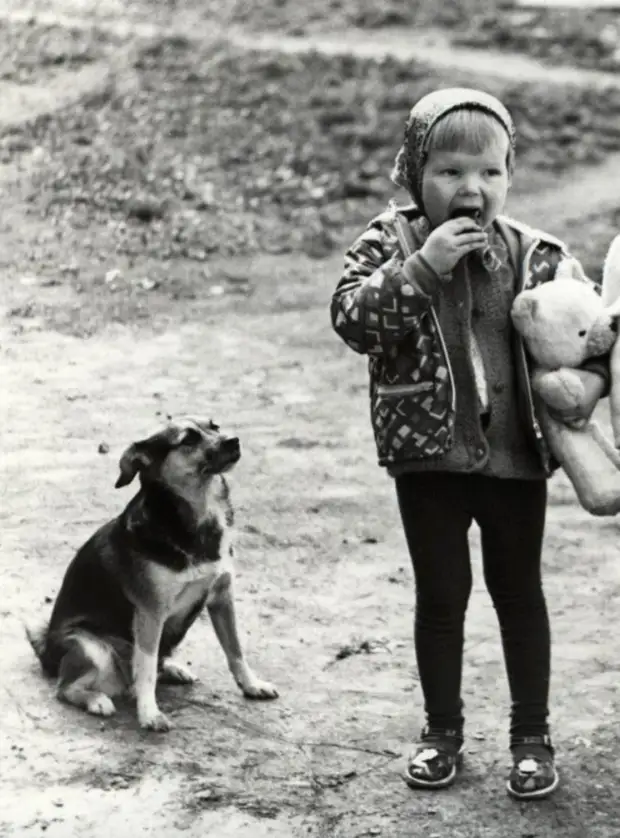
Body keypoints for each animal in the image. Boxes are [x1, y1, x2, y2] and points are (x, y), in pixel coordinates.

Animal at [26, 416, 278, 732]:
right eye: (188, 439)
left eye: (215, 426)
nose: (234, 440)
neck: (198, 515)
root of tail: (45, 650)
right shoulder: (150, 612)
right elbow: (144, 668)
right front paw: (149, 713)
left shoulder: (222, 597)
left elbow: (235, 650)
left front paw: (252, 685)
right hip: (90, 647)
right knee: (65, 687)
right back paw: (96, 700)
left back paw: (172, 669)